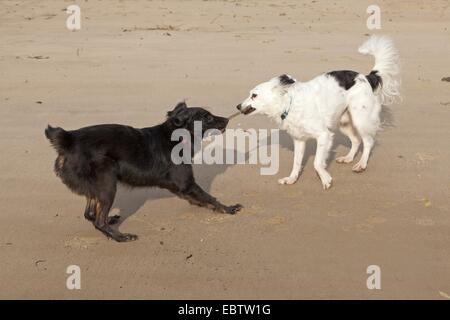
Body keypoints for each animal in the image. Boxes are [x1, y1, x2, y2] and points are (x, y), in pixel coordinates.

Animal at [45, 102, 243, 242]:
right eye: (207, 117)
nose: (227, 119)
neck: (177, 136)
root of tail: (68, 140)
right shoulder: (186, 183)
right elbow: (210, 197)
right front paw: (228, 208)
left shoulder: (180, 186)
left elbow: (199, 198)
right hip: (107, 183)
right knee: (98, 220)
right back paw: (121, 237)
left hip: (96, 186)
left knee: (90, 214)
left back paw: (112, 221)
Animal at [236, 35, 400, 189]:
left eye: (254, 95)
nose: (238, 106)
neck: (290, 105)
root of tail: (366, 77)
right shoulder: (299, 140)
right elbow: (296, 163)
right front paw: (292, 179)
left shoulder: (323, 136)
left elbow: (316, 162)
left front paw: (325, 178)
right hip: (343, 122)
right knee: (356, 140)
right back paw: (348, 158)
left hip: (360, 119)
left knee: (368, 142)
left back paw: (362, 164)